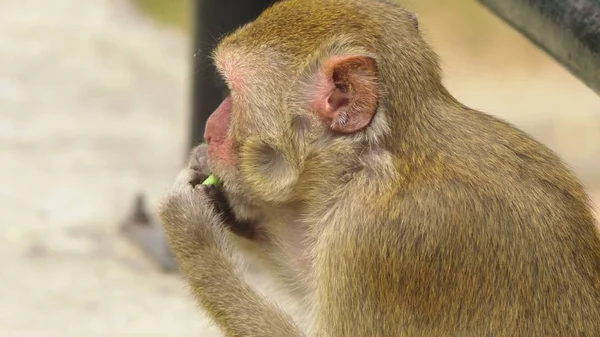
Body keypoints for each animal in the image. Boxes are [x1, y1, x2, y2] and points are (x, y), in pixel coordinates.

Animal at [157, 0, 600, 336]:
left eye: (233, 92)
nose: (210, 126)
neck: (373, 158)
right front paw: (225, 200)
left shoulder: (372, 243)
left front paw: (191, 229)